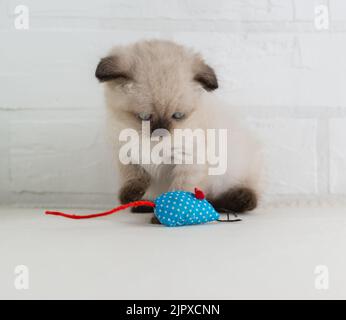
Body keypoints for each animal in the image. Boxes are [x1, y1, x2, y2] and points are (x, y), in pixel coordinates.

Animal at [94, 39, 262, 218]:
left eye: (178, 115)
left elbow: (179, 194)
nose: (161, 132)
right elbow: (135, 176)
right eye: (144, 117)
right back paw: (144, 206)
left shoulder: (188, 161)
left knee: (234, 197)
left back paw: (238, 201)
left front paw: (169, 216)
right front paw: (131, 196)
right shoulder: (125, 153)